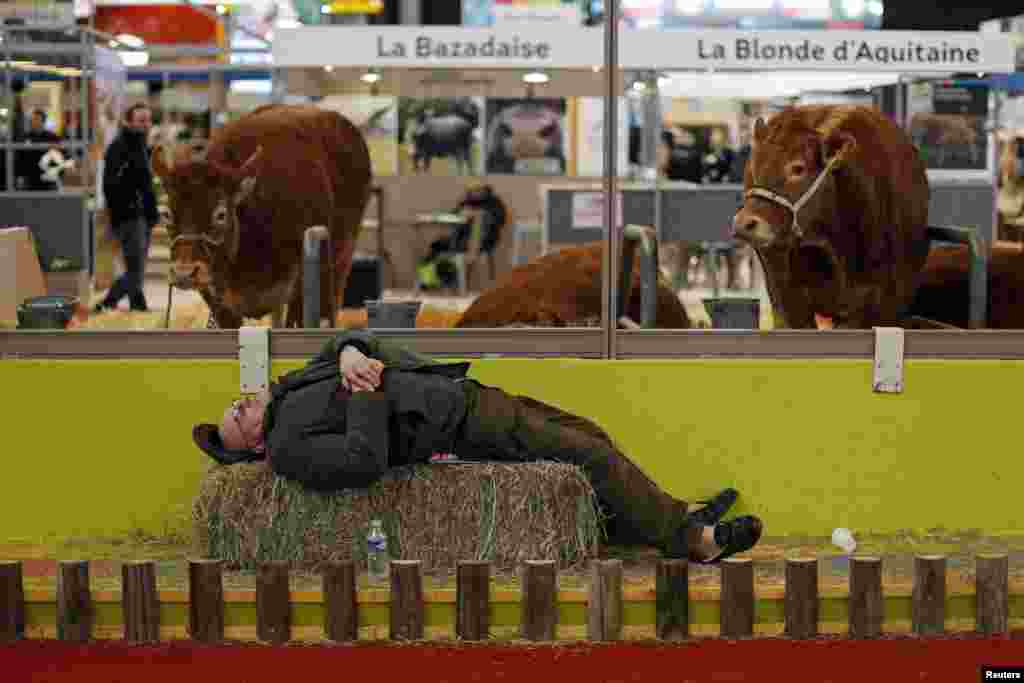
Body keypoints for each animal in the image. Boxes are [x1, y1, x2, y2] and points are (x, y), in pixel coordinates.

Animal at [149, 105, 374, 329]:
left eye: (221, 214)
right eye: (166, 214)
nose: (184, 272)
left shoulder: (300, 290)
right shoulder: (219, 303)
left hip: (339, 263)